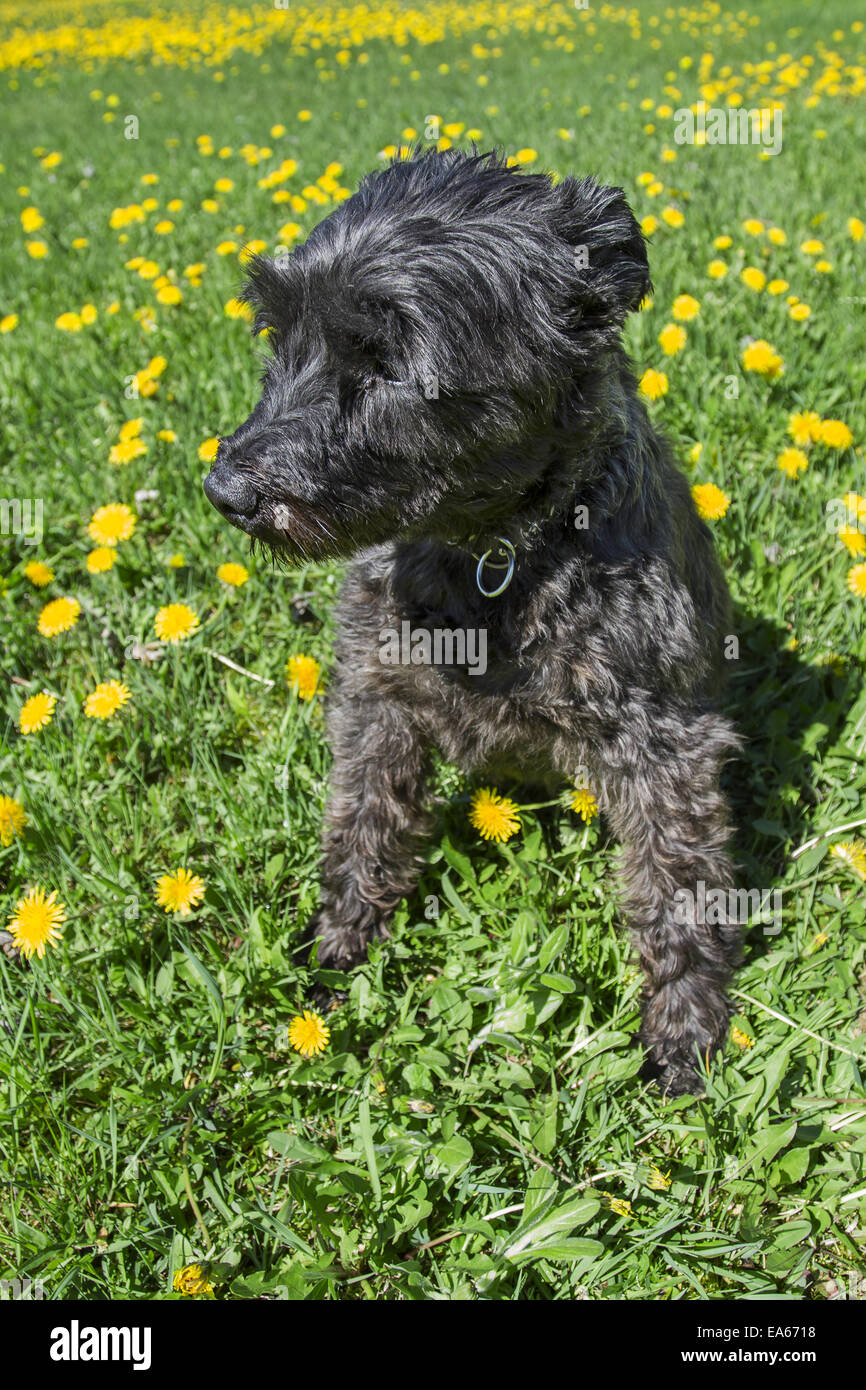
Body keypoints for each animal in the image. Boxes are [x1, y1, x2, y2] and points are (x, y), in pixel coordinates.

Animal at [207, 143, 739, 1095]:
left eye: (385, 359)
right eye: (279, 334)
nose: (225, 490)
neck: (492, 556)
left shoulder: (664, 745)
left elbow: (679, 882)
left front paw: (684, 1030)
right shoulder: (376, 703)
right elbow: (362, 824)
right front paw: (340, 954)